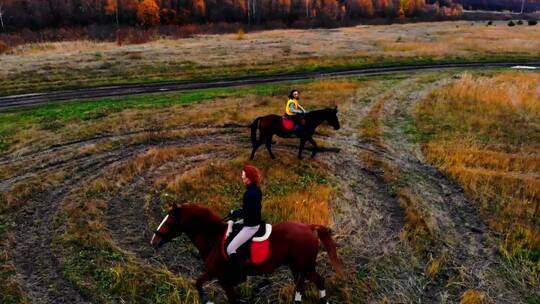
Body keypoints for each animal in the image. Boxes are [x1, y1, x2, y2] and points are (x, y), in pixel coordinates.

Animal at [149, 204, 342, 304]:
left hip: (305, 266)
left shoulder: (221, 278)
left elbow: (209, 288)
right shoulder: (216, 275)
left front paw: (206, 300)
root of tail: (309, 227)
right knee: (300, 284)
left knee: (319, 281)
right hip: (296, 266)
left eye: (169, 222)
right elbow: (198, 282)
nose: (153, 241)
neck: (213, 237)